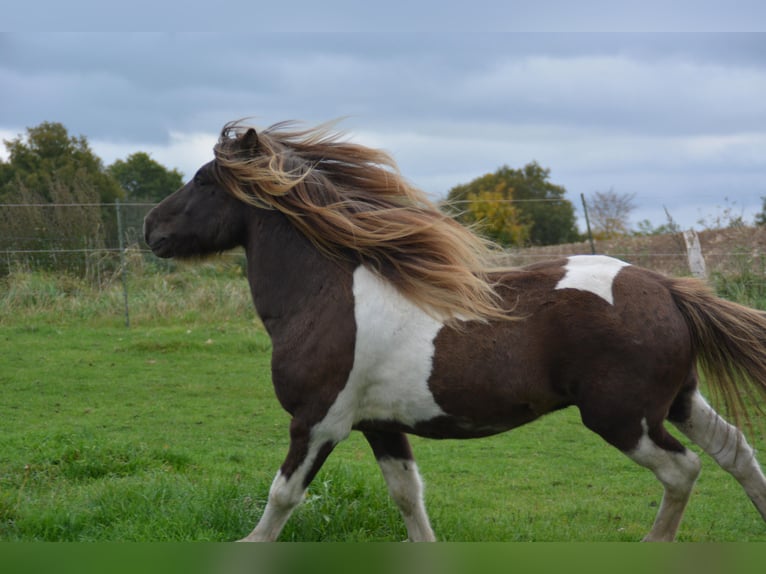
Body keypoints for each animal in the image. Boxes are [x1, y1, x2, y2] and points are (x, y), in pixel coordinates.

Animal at [143, 120, 766, 542]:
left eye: (203, 181)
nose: (151, 227)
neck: (323, 296)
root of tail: (667, 288)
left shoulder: (318, 422)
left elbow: (282, 496)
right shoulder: (378, 425)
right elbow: (407, 496)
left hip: (623, 417)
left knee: (684, 470)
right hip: (677, 401)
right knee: (735, 450)